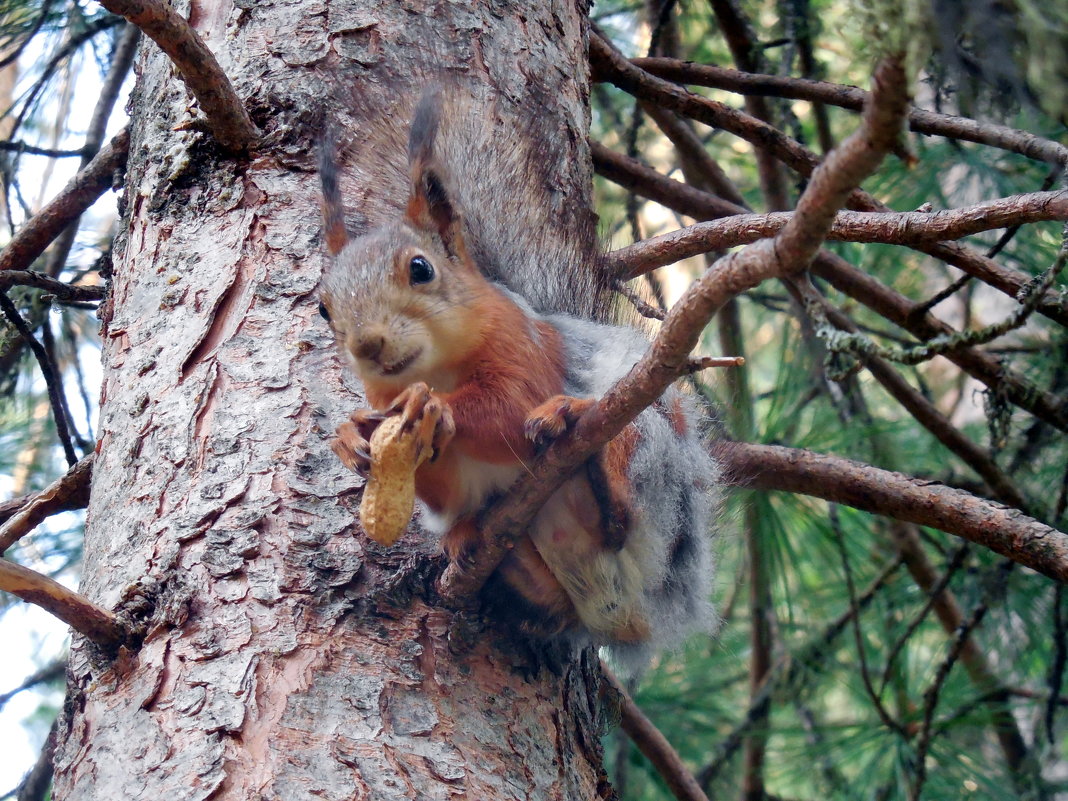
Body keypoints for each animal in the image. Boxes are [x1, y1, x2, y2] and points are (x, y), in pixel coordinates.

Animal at [316, 84, 717, 666]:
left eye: (420, 268)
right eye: (323, 307)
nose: (367, 345)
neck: (436, 368)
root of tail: (644, 618)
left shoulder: (524, 350)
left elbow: (508, 408)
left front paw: (435, 409)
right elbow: (433, 483)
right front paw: (351, 434)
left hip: (645, 453)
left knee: (624, 513)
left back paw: (591, 467)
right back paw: (472, 542)